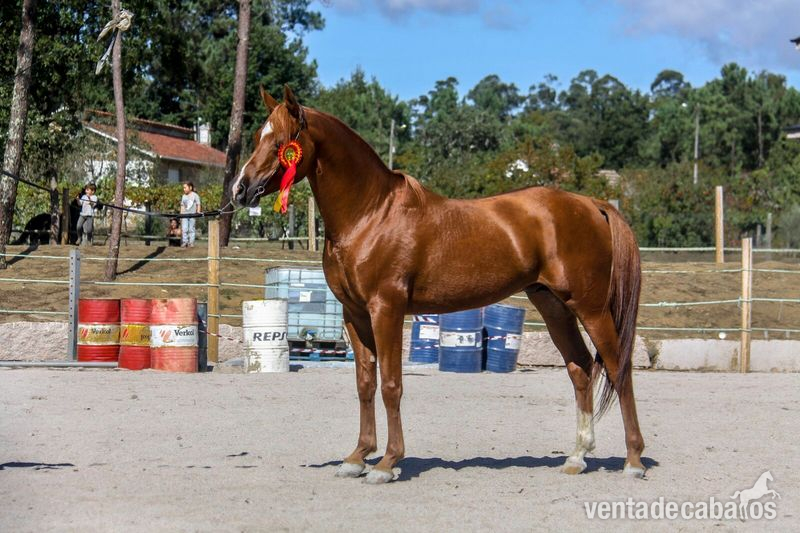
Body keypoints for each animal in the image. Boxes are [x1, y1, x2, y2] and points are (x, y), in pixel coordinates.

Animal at [232, 85, 646, 484]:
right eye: (256, 136)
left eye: (281, 141)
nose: (240, 189)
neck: (370, 214)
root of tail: (591, 203)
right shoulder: (354, 313)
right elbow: (365, 383)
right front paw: (357, 457)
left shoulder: (386, 309)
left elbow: (391, 384)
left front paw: (387, 463)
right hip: (554, 306)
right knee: (580, 368)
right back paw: (577, 457)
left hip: (591, 308)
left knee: (617, 368)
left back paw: (633, 460)